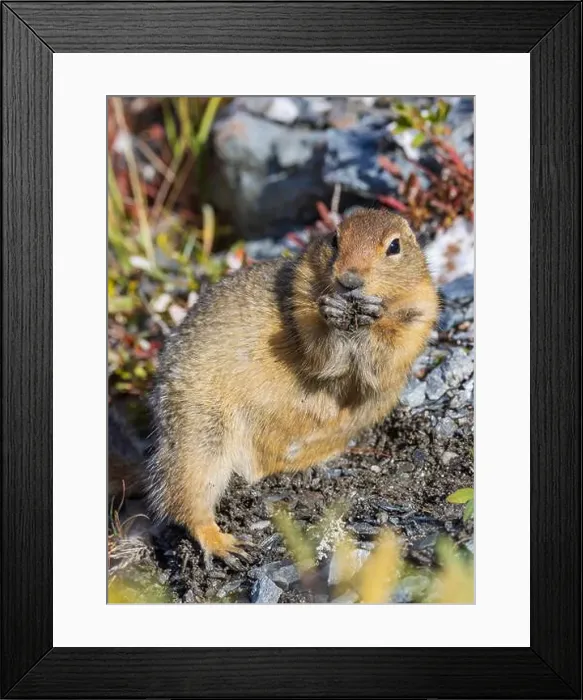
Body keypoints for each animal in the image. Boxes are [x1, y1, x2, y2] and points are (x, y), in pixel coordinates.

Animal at [146, 209, 439, 565]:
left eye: (394, 246)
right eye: (334, 239)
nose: (349, 281)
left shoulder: (420, 313)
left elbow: (383, 361)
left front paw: (371, 316)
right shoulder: (301, 305)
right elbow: (323, 354)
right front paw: (334, 315)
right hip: (199, 433)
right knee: (185, 499)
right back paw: (226, 545)